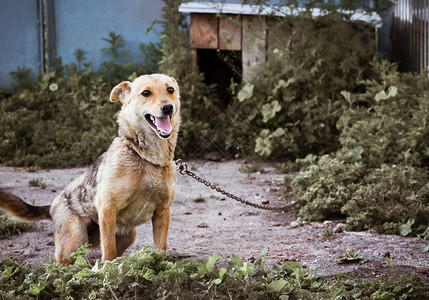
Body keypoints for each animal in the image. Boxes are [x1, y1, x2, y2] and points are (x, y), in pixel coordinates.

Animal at [0, 74, 180, 264]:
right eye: (146, 93)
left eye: (170, 90)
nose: (168, 107)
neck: (147, 157)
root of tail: (52, 205)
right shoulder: (107, 209)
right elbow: (108, 252)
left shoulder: (162, 212)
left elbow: (160, 249)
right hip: (75, 241)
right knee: (62, 263)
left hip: (127, 235)